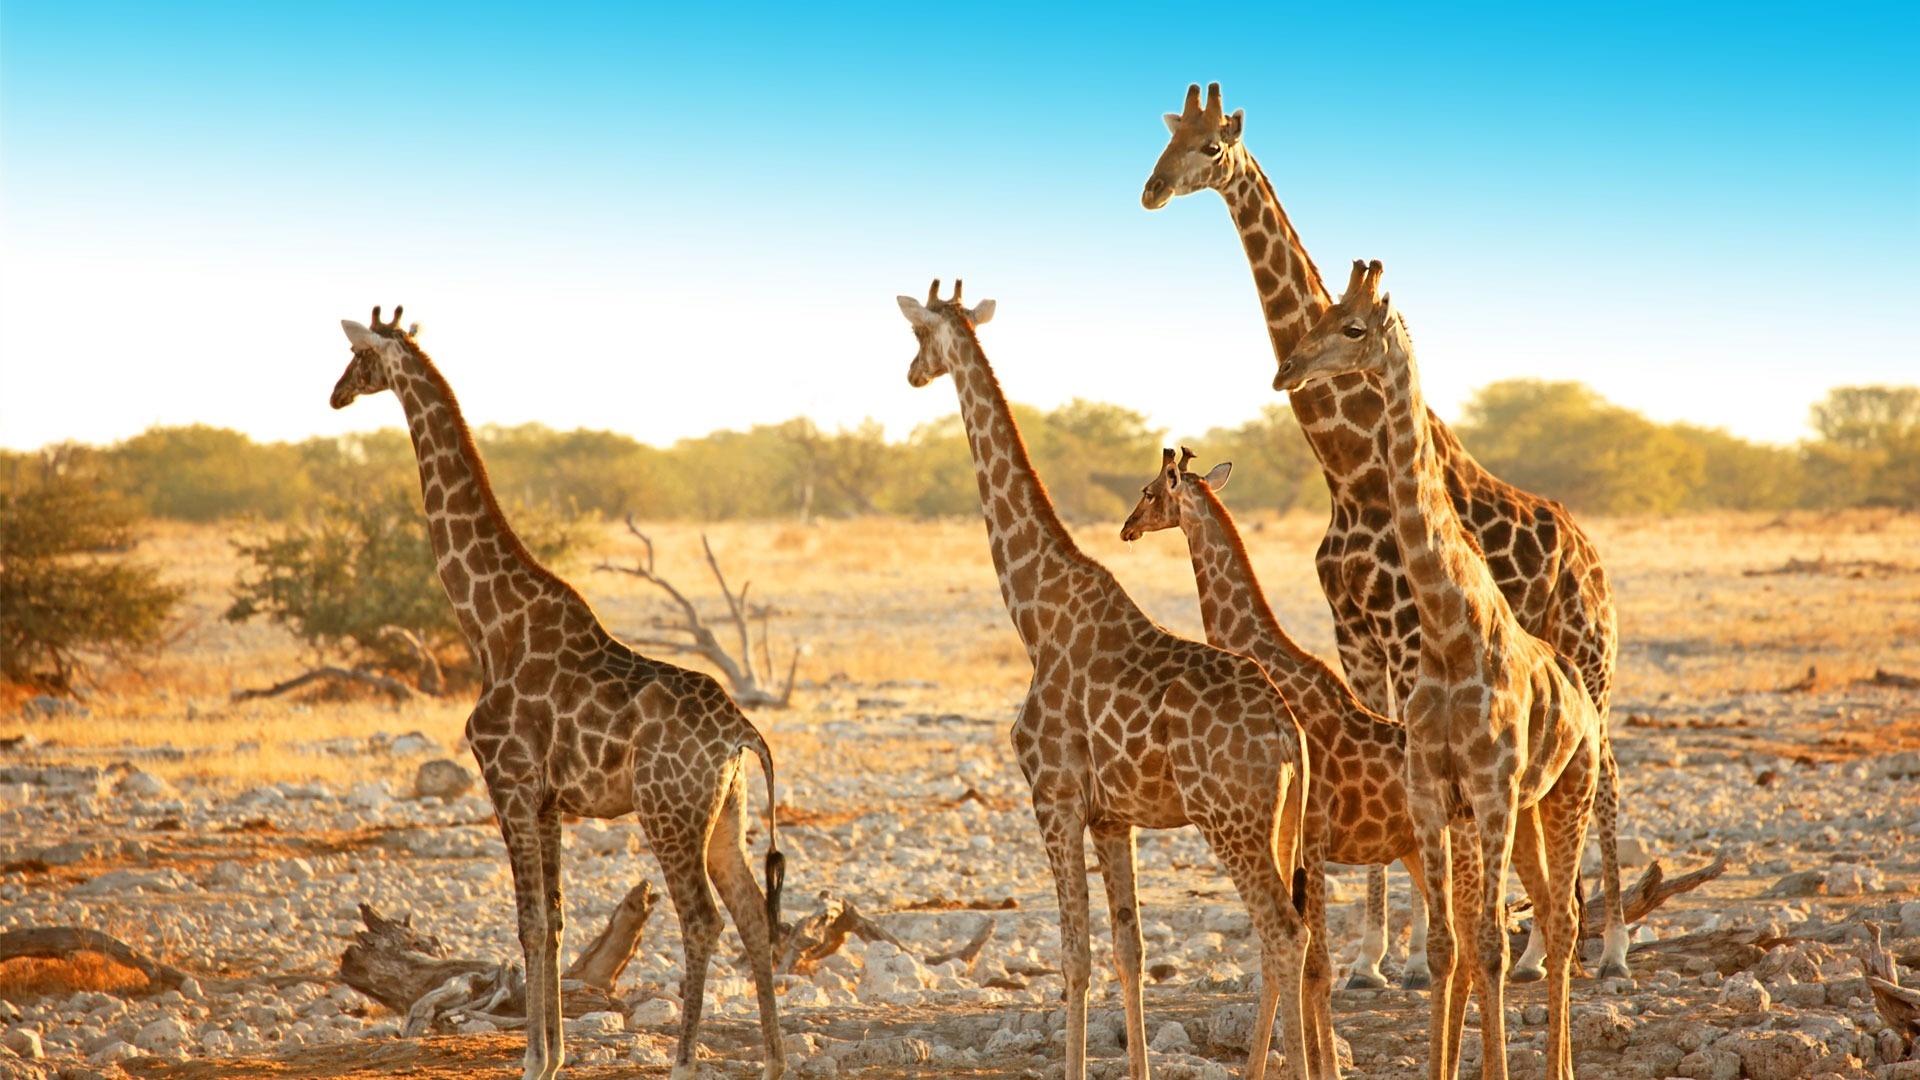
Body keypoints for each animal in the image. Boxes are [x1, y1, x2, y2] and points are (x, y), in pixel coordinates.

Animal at [330, 305, 787, 1076]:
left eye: (357, 359)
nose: (334, 395)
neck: (492, 625)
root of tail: (740, 733)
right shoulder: (548, 800)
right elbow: (555, 918)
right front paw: (553, 1055)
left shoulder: (508, 780)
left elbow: (529, 920)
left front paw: (532, 1060)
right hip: (725, 812)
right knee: (753, 914)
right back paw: (777, 1060)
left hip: (667, 810)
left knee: (702, 918)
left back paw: (685, 1059)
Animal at [898, 278, 1320, 1076]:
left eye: (918, 335)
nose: (910, 375)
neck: (1033, 614)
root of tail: (1289, 732)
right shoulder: (1112, 816)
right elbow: (1130, 949)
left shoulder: (1053, 797)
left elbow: (1075, 957)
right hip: (1283, 823)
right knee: (1297, 935)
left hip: (1229, 820)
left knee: (1283, 933)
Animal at [1121, 443, 1436, 1068]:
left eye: (1149, 490)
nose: (1127, 528)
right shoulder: (1300, 840)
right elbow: (1289, 960)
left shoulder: (1310, 835)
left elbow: (1313, 965)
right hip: (1421, 849)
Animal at [1144, 79, 1628, 980]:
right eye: (1164, 137)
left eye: (1211, 148)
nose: (1151, 190)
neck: (1348, 466)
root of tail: (1589, 553)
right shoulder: (1357, 641)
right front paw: (1376, 956)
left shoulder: (1404, 635)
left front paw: (1407, 955)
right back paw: (1539, 947)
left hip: (1590, 651)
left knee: (1608, 772)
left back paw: (1611, 945)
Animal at [1274, 259, 1605, 1076]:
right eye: (1320, 313)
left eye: (1353, 326)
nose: (1286, 369)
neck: (1451, 631)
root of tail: (1581, 694)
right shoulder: (1433, 794)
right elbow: (1443, 946)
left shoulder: (1487, 791)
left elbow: (1488, 945)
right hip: (1526, 809)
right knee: (1551, 914)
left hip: (1565, 791)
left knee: (1565, 919)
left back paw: (1558, 1064)